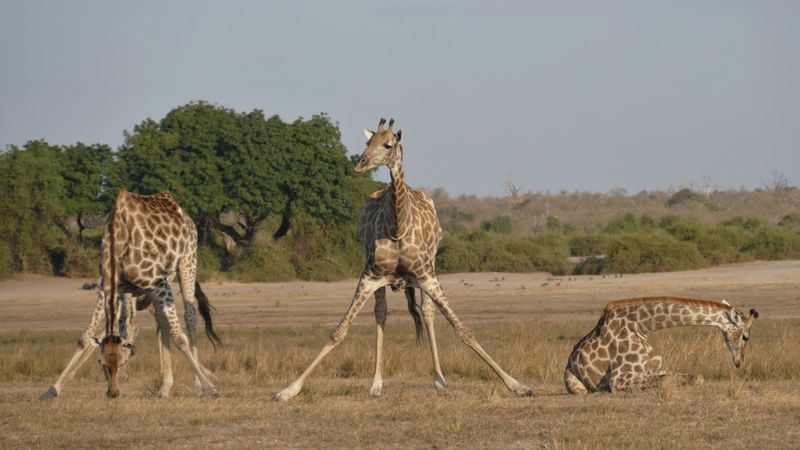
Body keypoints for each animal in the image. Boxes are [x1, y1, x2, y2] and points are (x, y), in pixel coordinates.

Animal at [39, 189, 221, 399]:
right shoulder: (107, 289)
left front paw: (209, 387)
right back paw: (165, 386)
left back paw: (197, 385)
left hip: (187, 262)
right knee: (162, 322)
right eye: (101, 363)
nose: (113, 393)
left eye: (124, 363)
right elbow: (85, 337)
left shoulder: (158, 284)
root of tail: (187, 218)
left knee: (189, 317)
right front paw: (52, 389)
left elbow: (179, 337)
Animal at [273, 118, 534, 401]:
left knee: (428, 313)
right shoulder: (369, 276)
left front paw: (518, 385)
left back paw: (439, 380)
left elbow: (463, 330)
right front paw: (288, 389)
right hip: (381, 281)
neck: (397, 228)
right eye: (368, 142)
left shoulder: (426, 276)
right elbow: (339, 332)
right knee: (381, 313)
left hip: (429, 270)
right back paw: (376, 383)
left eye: (388, 144)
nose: (360, 163)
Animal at [564, 296, 759, 395]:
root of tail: (569, 361)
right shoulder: (617, 378)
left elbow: (695, 377)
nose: (739, 363)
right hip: (575, 384)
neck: (640, 327)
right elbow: (664, 380)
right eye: (745, 337)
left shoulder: (655, 368)